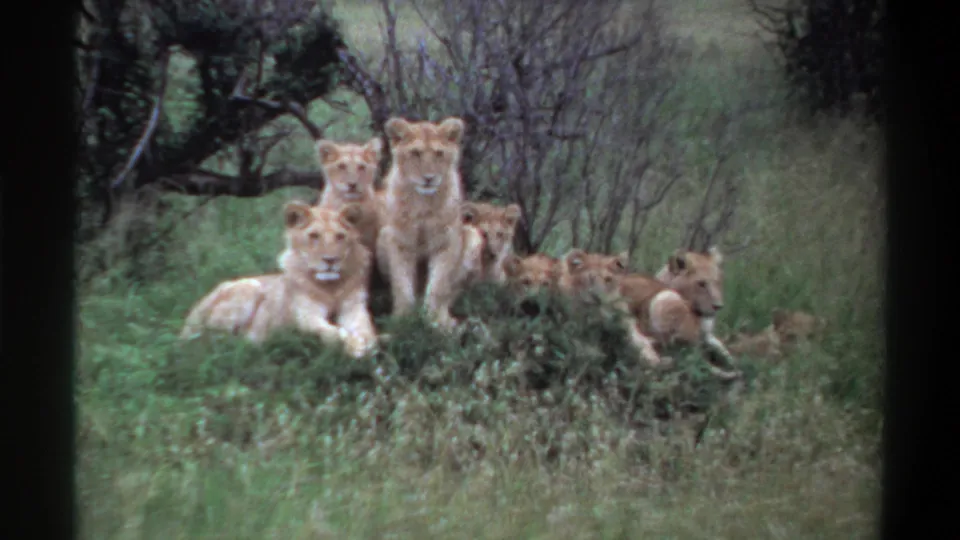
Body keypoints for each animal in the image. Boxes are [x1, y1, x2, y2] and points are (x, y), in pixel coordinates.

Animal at [180, 202, 378, 358]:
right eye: (314, 236)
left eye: (340, 236)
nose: (331, 260)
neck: (330, 287)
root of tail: (189, 319)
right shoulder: (305, 316)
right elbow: (329, 332)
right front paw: (353, 344)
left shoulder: (354, 307)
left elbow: (365, 328)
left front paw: (367, 341)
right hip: (249, 287)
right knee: (211, 342)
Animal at [375, 116, 470, 329]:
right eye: (416, 153)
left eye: (439, 153)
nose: (429, 178)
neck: (422, 204)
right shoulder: (398, 242)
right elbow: (402, 285)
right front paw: (403, 320)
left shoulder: (446, 243)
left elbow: (438, 286)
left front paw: (434, 321)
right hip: (382, 237)